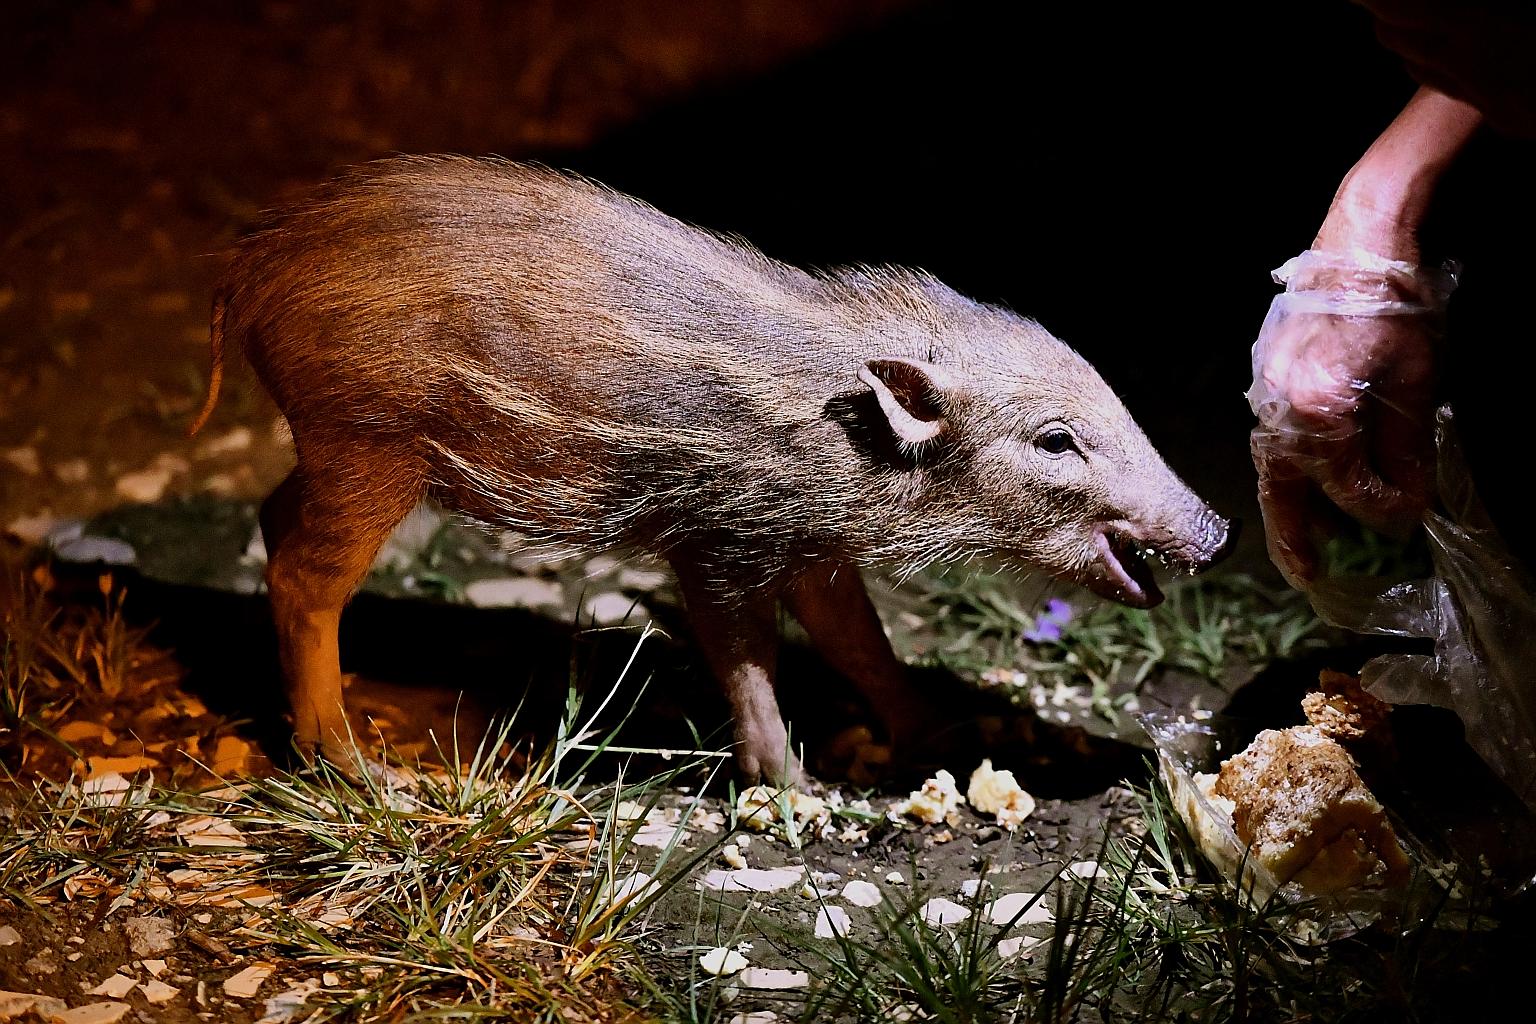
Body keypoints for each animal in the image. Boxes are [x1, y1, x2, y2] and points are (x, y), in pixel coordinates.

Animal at [190, 156, 1232, 785]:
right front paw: (793, 786)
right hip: (368, 448)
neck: (844, 431)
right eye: (1056, 441)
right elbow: (746, 657)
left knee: (273, 520)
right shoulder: (719, 540)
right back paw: (356, 764)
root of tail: (247, 270)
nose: (1220, 531)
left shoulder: (810, 544)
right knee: (306, 579)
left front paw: (943, 738)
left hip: (334, 452)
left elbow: (860, 642)